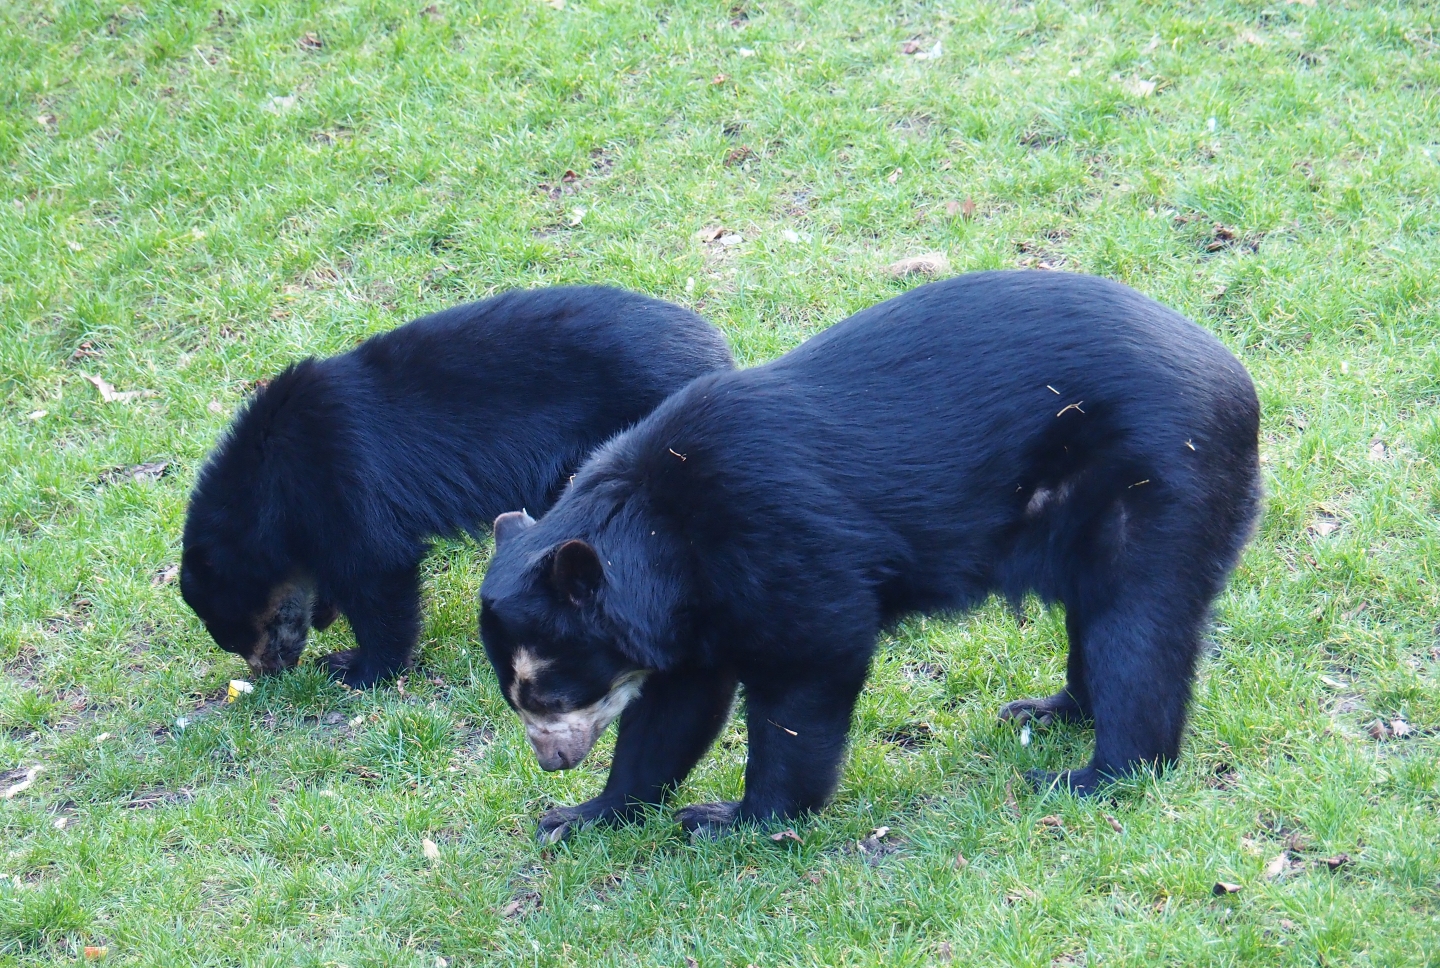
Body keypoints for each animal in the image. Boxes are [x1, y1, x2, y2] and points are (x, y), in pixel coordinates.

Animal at [181, 285, 734, 688]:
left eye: (239, 634)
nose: (268, 672)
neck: (267, 482)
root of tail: (717, 348)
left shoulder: (338, 478)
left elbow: (378, 571)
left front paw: (357, 669)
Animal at [477, 270, 1262, 842]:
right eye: (520, 700)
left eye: (548, 695)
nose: (551, 762)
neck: (663, 539)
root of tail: (1238, 381)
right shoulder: (699, 614)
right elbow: (673, 713)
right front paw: (582, 817)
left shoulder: (785, 550)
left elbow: (810, 671)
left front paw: (735, 821)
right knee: (1096, 623)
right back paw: (1047, 711)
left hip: (1156, 488)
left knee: (1137, 632)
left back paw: (1097, 776)